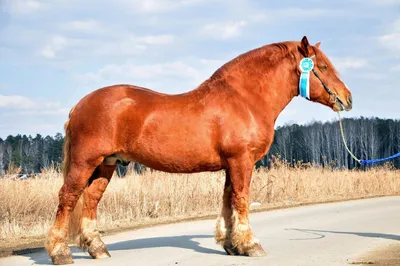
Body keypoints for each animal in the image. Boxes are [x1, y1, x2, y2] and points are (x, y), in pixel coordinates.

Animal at [46, 35, 354, 264]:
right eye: (322, 67)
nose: (347, 98)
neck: (244, 99)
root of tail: (80, 104)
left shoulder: (232, 164)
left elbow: (228, 199)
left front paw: (231, 244)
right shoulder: (242, 161)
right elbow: (242, 200)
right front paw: (250, 244)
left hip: (106, 164)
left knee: (90, 200)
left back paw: (97, 248)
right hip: (85, 162)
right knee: (68, 198)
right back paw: (60, 252)